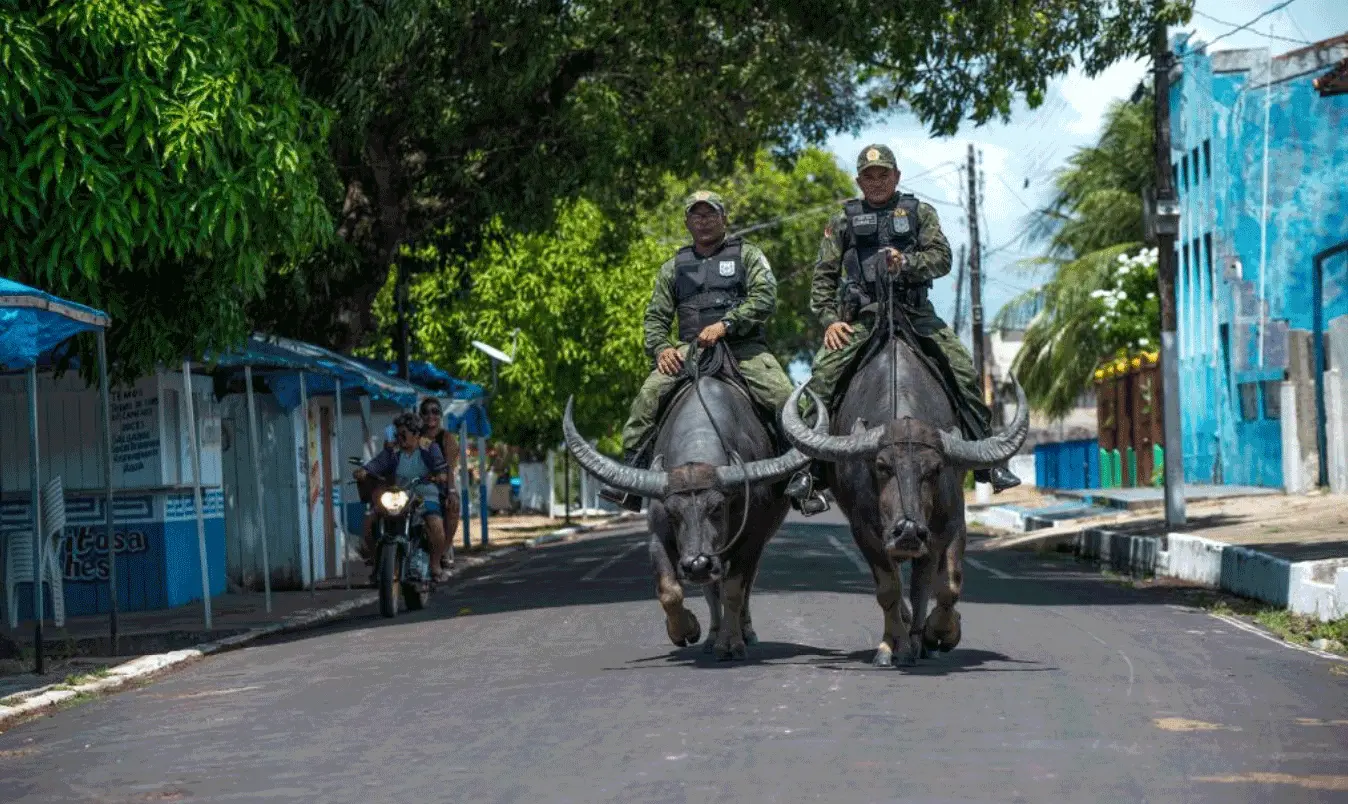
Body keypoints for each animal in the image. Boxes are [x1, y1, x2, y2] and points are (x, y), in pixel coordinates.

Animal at [563, 377, 824, 658]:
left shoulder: (751, 540)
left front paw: (731, 643)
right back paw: (711, 636)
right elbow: (670, 591)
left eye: (717, 507)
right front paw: (686, 631)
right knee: (711, 590)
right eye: (672, 512)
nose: (697, 564)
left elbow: (734, 591)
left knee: (745, 586)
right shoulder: (659, 538)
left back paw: (745, 633)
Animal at [776, 333, 1024, 666]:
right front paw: (894, 647)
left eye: (935, 469)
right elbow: (889, 589)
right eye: (882, 466)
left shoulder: (949, 525)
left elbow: (943, 586)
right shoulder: (867, 533)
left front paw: (937, 635)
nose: (907, 531)